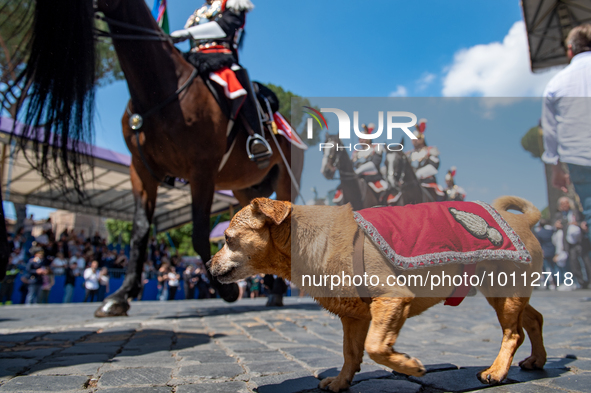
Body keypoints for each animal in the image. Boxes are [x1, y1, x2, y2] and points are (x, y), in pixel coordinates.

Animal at [9, 0, 306, 316]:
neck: (160, 91)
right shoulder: (140, 169)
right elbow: (139, 233)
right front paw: (121, 295)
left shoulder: (202, 171)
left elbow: (199, 232)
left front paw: (225, 290)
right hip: (243, 188)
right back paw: (270, 284)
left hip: (285, 178)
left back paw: (275, 291)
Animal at [210, 195, 548, 388]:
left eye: (227, 239)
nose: (207, 264)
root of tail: (521, 219)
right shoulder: (353, 318)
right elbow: (350, 352)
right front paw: (341, 382)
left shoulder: (391, 299)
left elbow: (375, 346)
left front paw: (409, 366)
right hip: (505, 293)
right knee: (534, 319)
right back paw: (536, 360)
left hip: (504, 292)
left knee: (513, 333)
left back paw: (496, 371)